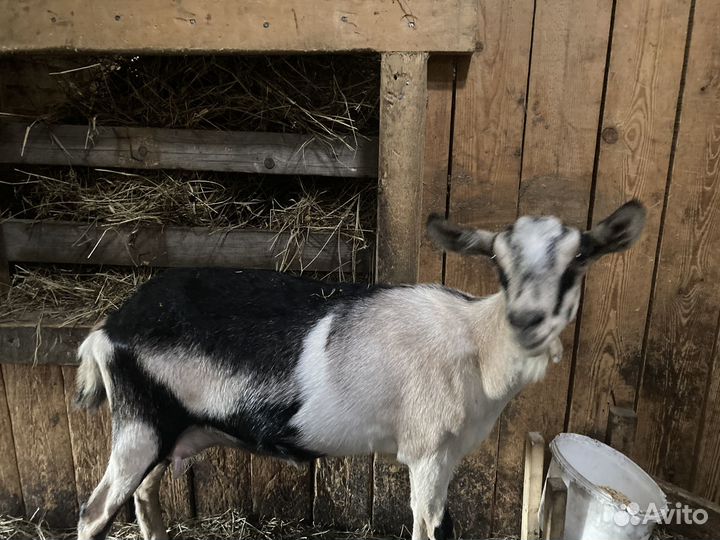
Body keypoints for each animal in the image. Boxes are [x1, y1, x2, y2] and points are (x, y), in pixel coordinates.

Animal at [74, 200, 646, 540]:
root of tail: (107, 328)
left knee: (144, 498)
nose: (527, 320)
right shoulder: (428, 452)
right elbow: (429, 528)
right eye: (499, 264)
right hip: (139, 429)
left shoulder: (450, 455)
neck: (477, 345)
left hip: (172, 433)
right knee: (95, 513)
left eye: (580, 259)